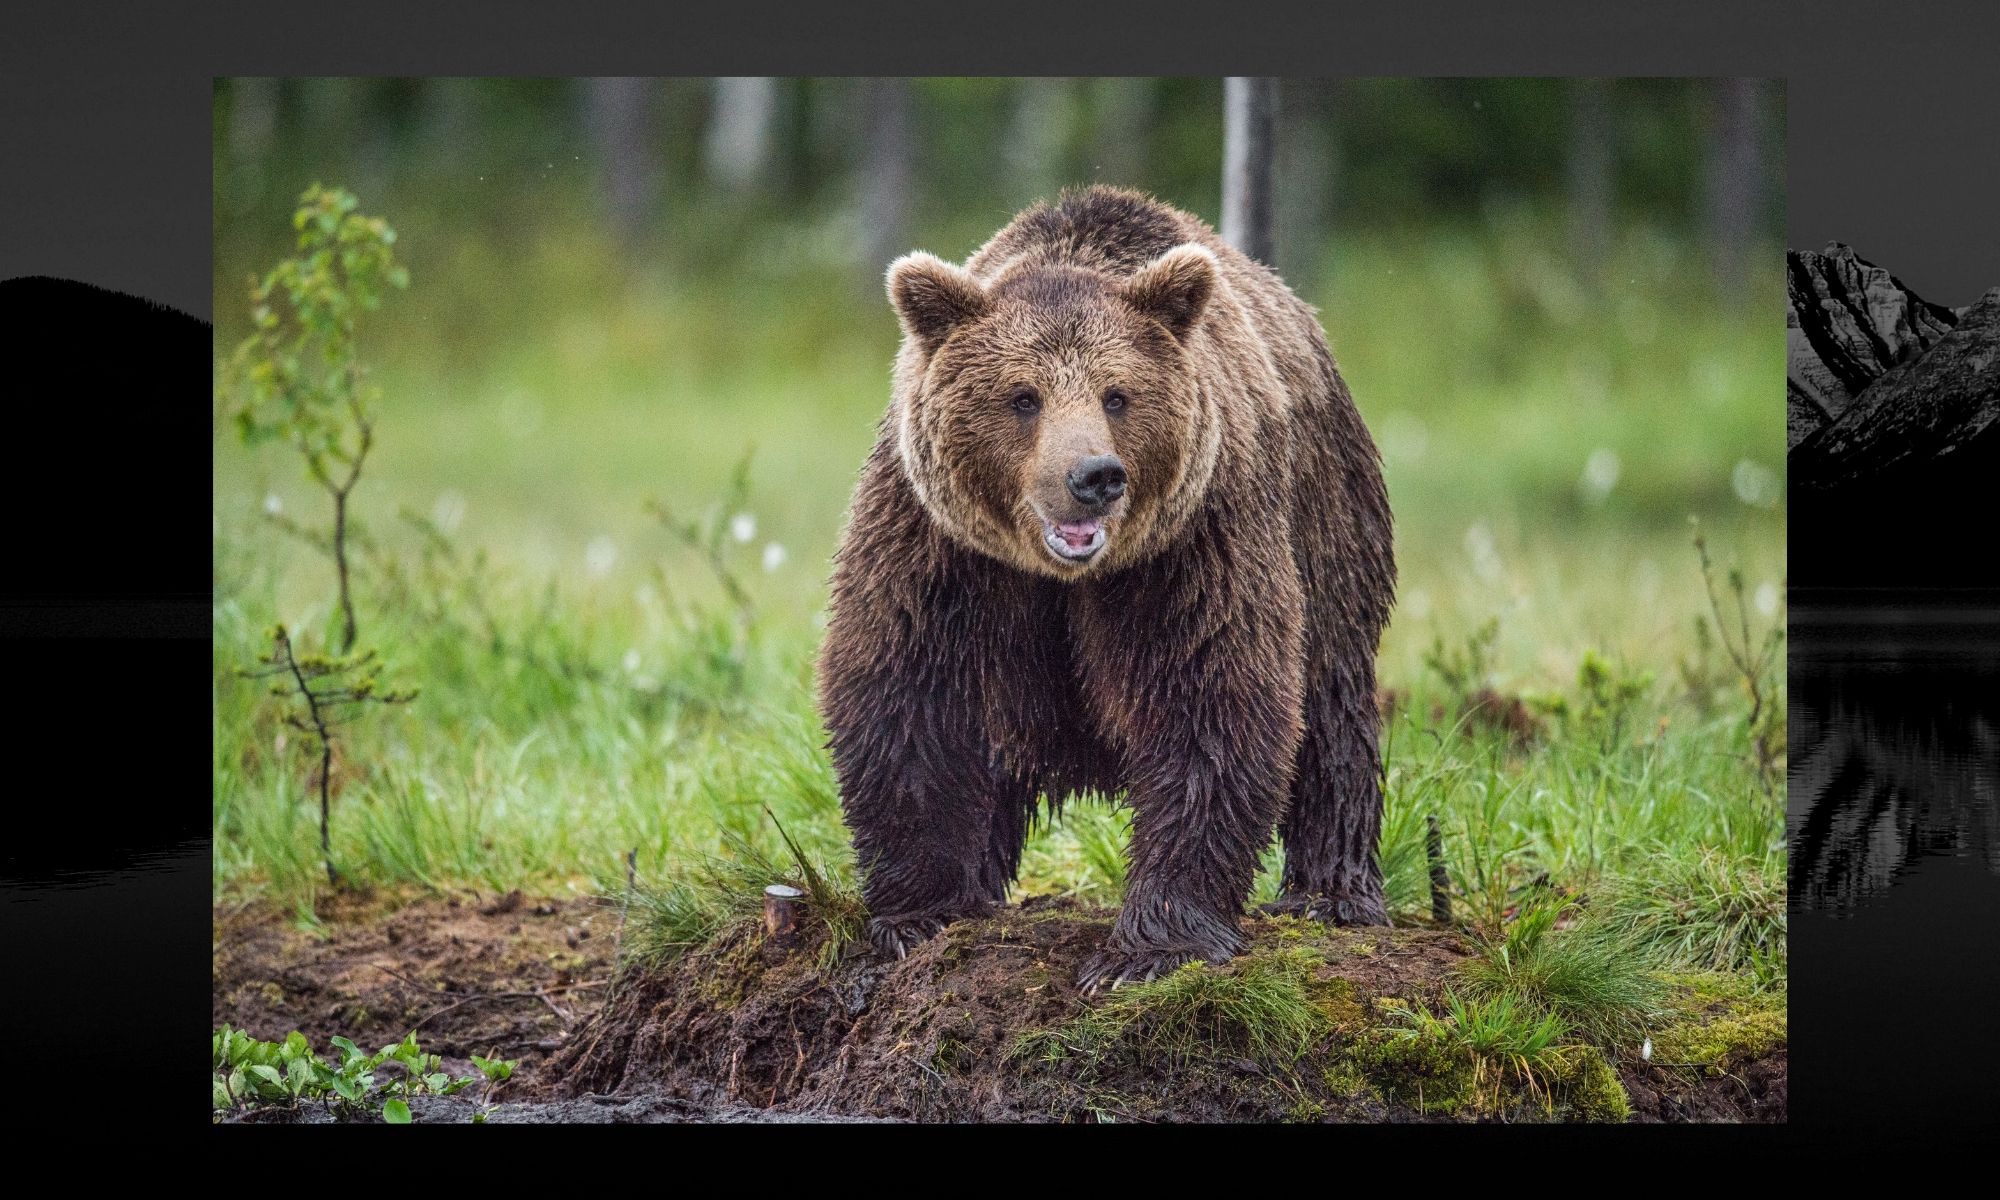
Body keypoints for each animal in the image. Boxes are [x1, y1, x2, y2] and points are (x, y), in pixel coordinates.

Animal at [812, 188, 1392, 988]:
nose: (1094, 477)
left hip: (1327, 512)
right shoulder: (940, 549)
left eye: (1118, 396)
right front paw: (921, 911)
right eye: (1022, 397)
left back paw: (1332, 894)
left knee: (1333, 700)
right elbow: (909, 693)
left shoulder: (1191, 546)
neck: (1060, 576)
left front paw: (1149, 947)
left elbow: (1208, 700)